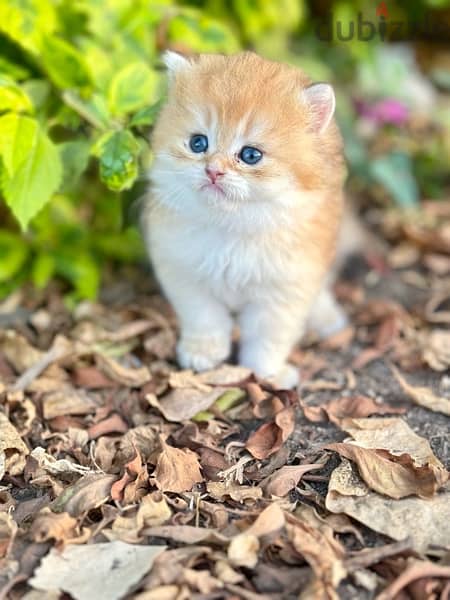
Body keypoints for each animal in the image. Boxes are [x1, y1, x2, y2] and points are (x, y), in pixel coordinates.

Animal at [142, 51, 346, 390]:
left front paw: (268, 373)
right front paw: (202, 354)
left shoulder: (283, 294)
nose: (213, 171)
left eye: (251, 155)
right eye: (198, 143)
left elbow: (267, 339)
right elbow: (205, 318)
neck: (234, 228)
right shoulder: (186, 275)